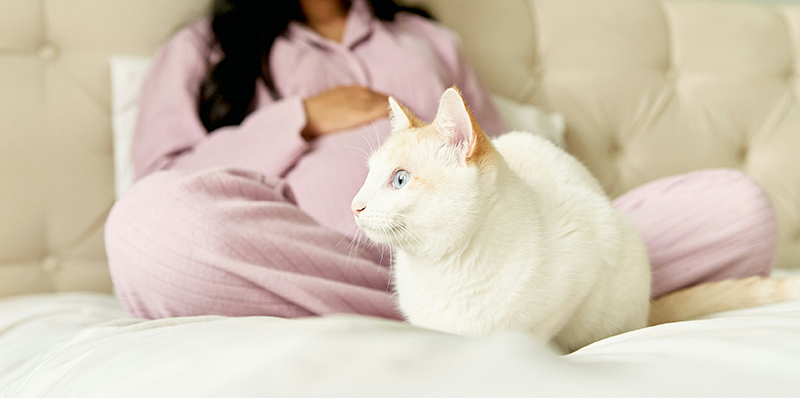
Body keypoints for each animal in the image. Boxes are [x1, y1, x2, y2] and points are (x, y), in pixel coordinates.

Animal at [354, 88, 652, 352]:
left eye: (400, 179)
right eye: (368, 174)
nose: (354, 205)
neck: (441, 268)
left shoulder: (589, 257)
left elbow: (538, 332)